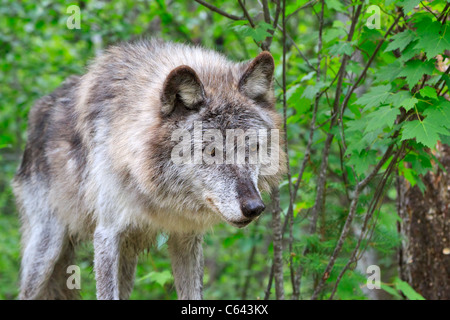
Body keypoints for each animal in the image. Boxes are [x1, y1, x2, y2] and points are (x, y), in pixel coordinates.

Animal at [13, 40, 284, 300]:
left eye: (254, 146)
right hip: (46, 253)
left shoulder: (186, 237)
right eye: (211, 151)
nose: (254, 208)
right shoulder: (106, 235)